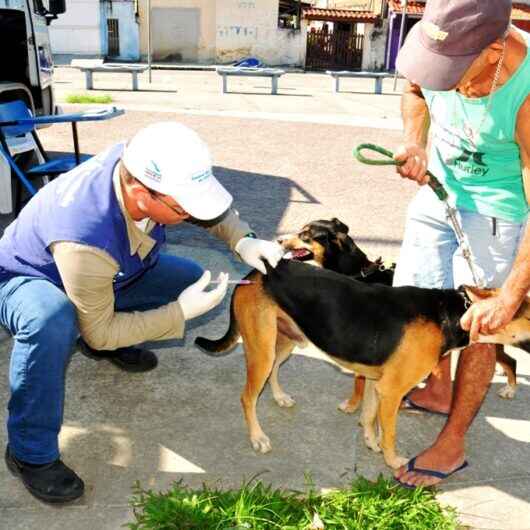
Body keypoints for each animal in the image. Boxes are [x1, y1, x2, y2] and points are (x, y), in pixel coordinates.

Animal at [195, 219, 520, 466]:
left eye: (306, 234)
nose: (279, 242)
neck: (446, 312)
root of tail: (255, 271)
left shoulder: (378, 382)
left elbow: (369, 415)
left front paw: (369, 440)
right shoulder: (390, 390)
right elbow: (385, 428)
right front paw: (392, 460)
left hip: (284, 339)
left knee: (273, 370)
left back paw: (279, 397)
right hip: (262, 348)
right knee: (247, 396)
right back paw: (258, 437)